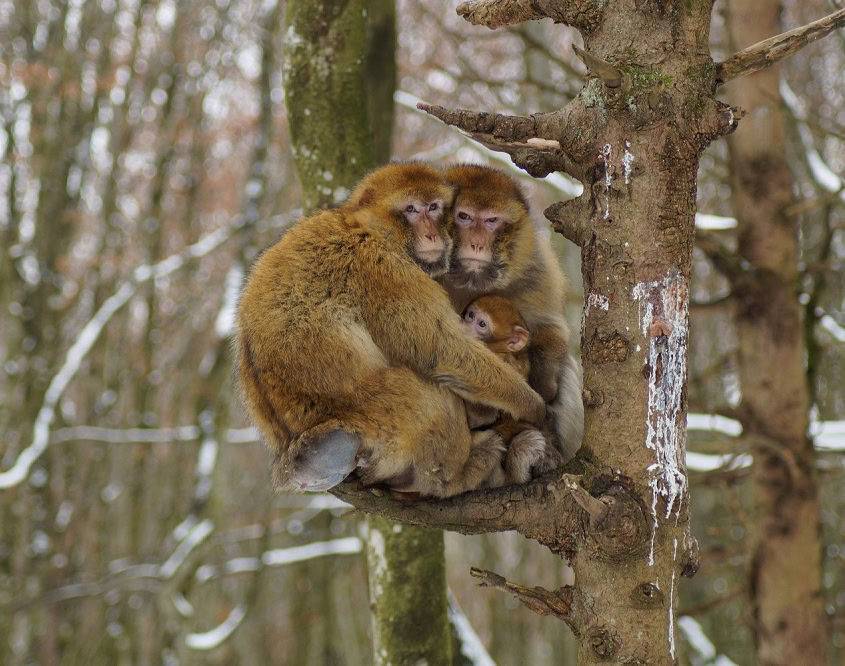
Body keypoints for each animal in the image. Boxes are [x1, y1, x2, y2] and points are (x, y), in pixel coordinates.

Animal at [234, 162, 544, 498]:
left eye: (434, 207)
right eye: (411, 209)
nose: (431, 234)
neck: (367, 224)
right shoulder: (385, 269)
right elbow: (442, 351)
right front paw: (532, 404)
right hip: (380, 419)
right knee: (428, 397)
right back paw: (459, 473)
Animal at [442, 163, 580, 460]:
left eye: (492, 220)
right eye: (464, 216)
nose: (477, 244)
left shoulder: (535, 267)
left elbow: (550, 328)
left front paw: (545, 387)